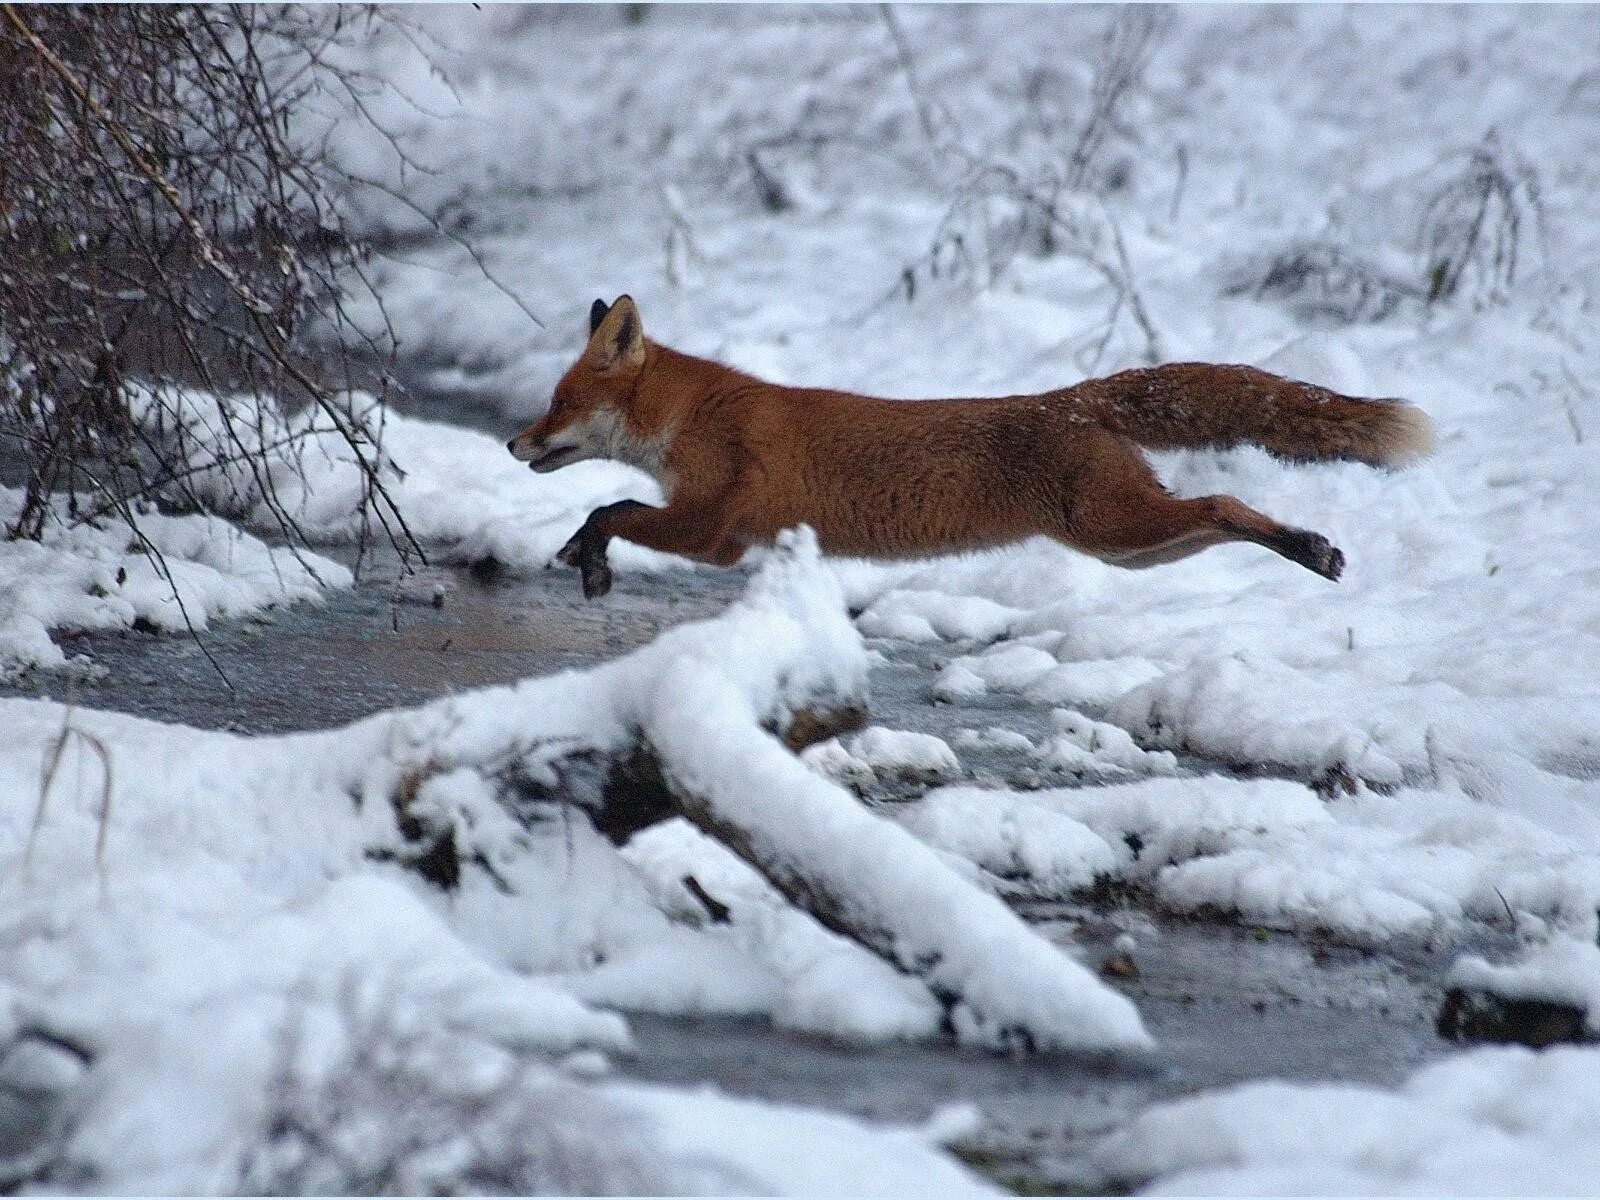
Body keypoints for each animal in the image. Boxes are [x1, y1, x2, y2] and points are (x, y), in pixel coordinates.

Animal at [505, 299, 1433, 598]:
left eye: (558, 403)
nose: (513, 442)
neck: (697, 415)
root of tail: (1069, 399)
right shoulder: (716, 531)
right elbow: (611, 505)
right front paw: (586, 558)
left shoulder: (717, 532)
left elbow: (612, 505)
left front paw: (592, 558)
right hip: (1131, 545)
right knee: (1218, 515)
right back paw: (1307, 550)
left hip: (1116, 528)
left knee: (1228, 502)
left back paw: (1311, 547)